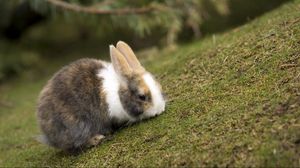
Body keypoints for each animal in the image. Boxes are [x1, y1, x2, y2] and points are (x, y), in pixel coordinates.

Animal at [37, 40, 166, 151]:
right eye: (141, 96)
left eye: (160, 87)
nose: (159, 110)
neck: (118, 93)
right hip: (75, 126)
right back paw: (97, 138)